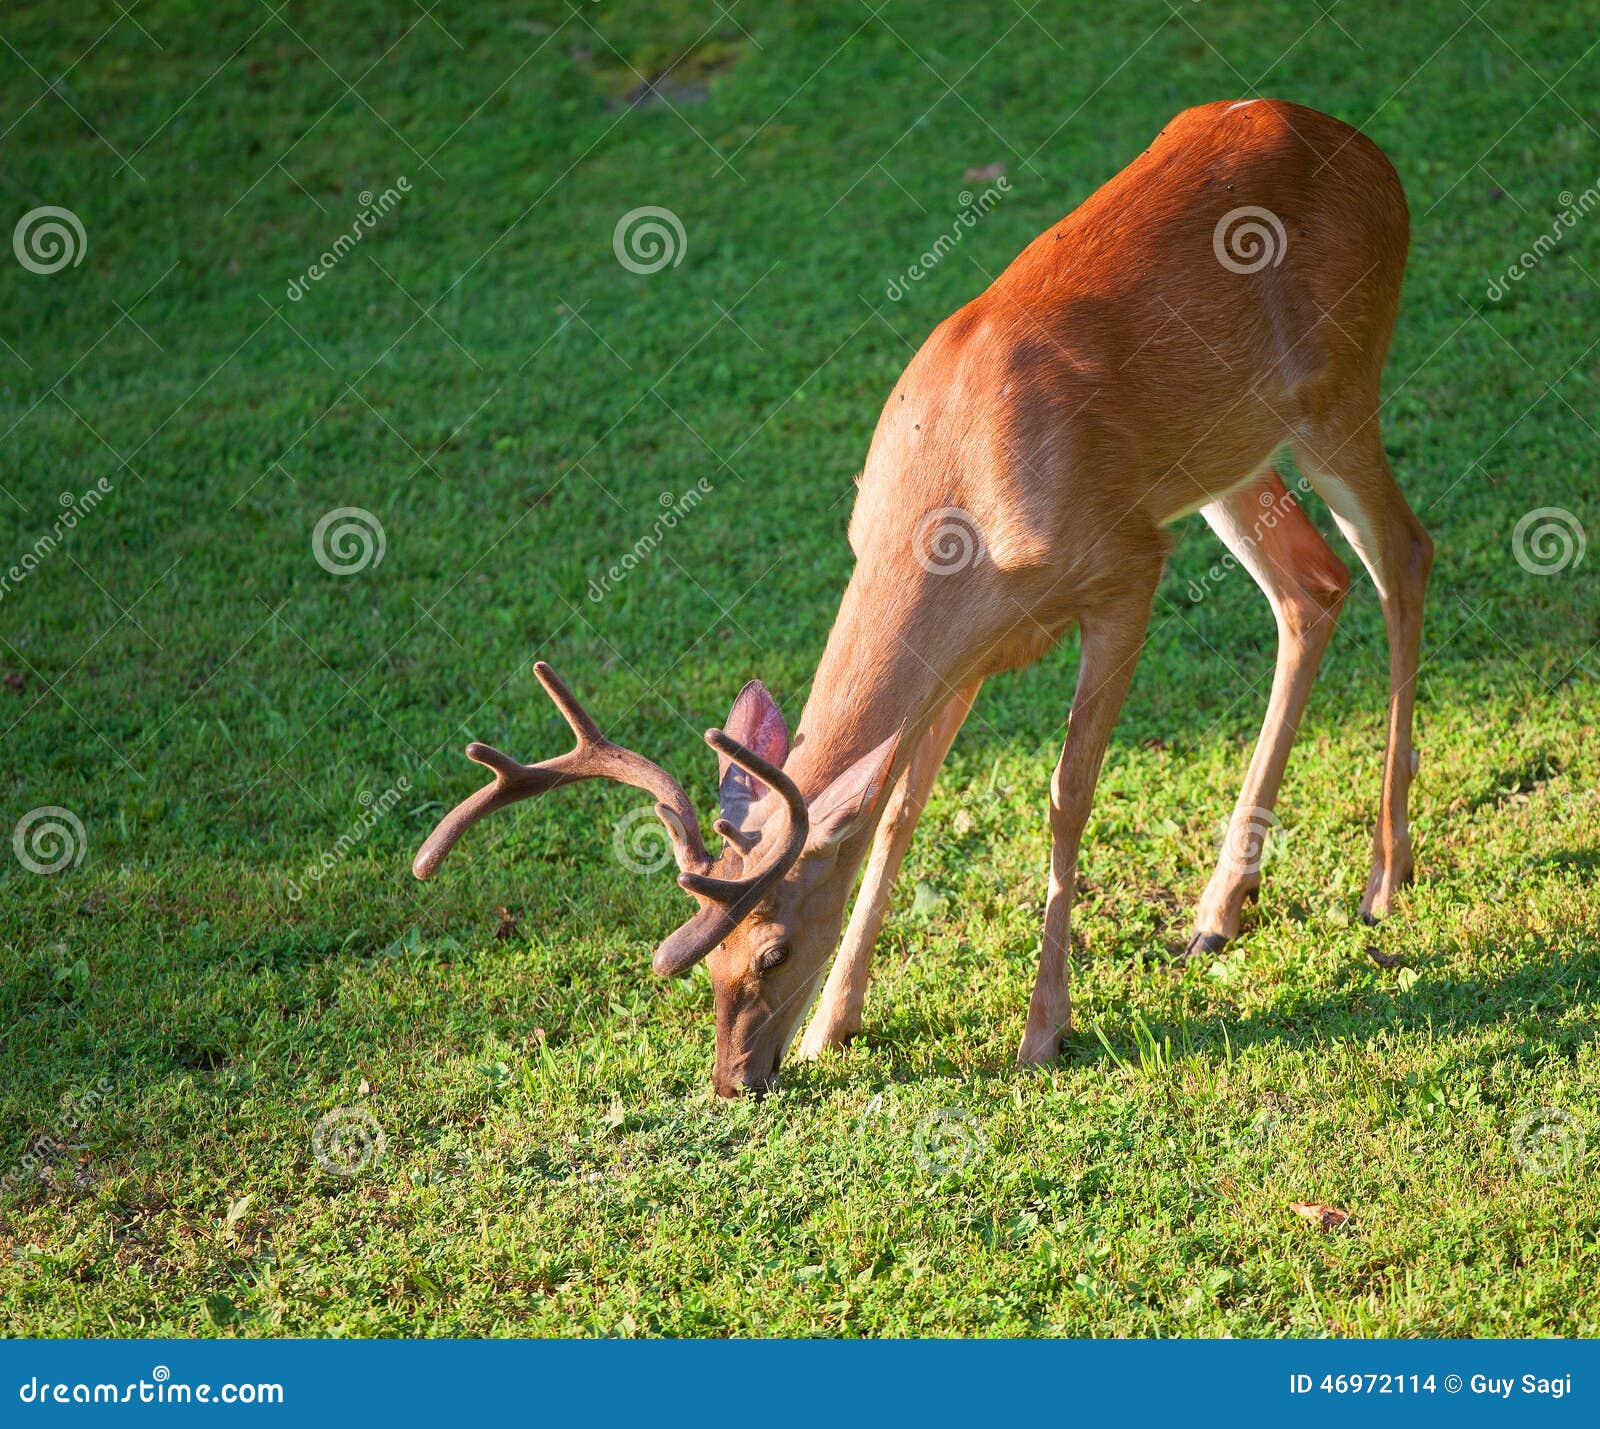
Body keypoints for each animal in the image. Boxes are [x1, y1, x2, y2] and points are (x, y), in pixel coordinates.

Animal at [409, 100, 1427, 1100]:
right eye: (709, 967)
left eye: (773, 951)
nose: (734, 1079)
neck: (959, 500)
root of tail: (1373, 153)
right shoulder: (966, 647)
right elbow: (902, 805)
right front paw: (836, 1024)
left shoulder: (1127, 568)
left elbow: (1067, 793)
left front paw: (1043, 1030)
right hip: (1231, 455)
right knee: (1312, 587)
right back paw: (1222, 908)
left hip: (1339, 388)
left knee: (1402, 553)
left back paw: (1385, 877)